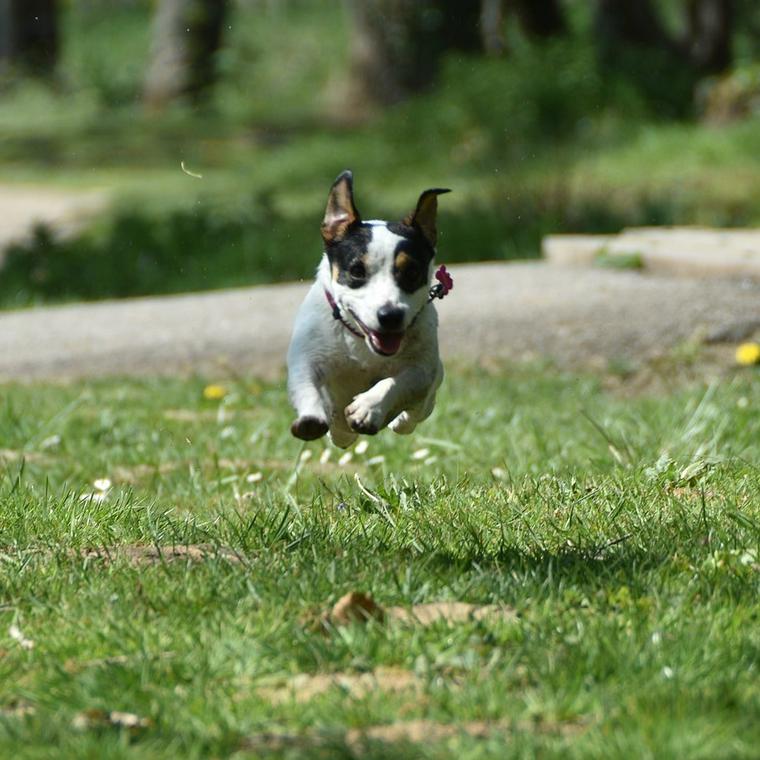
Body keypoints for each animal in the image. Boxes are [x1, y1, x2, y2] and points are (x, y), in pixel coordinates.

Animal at [288, 169, 448, 448]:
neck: (360, 341)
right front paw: (310, 418)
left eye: (412, 272)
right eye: (356, 271)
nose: (390, 316)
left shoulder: (424, 368)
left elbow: (401, 380)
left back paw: (400, 419)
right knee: (340, 432)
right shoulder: (305, 356)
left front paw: (368, 407)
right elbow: (306, 383)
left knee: (416, 411)